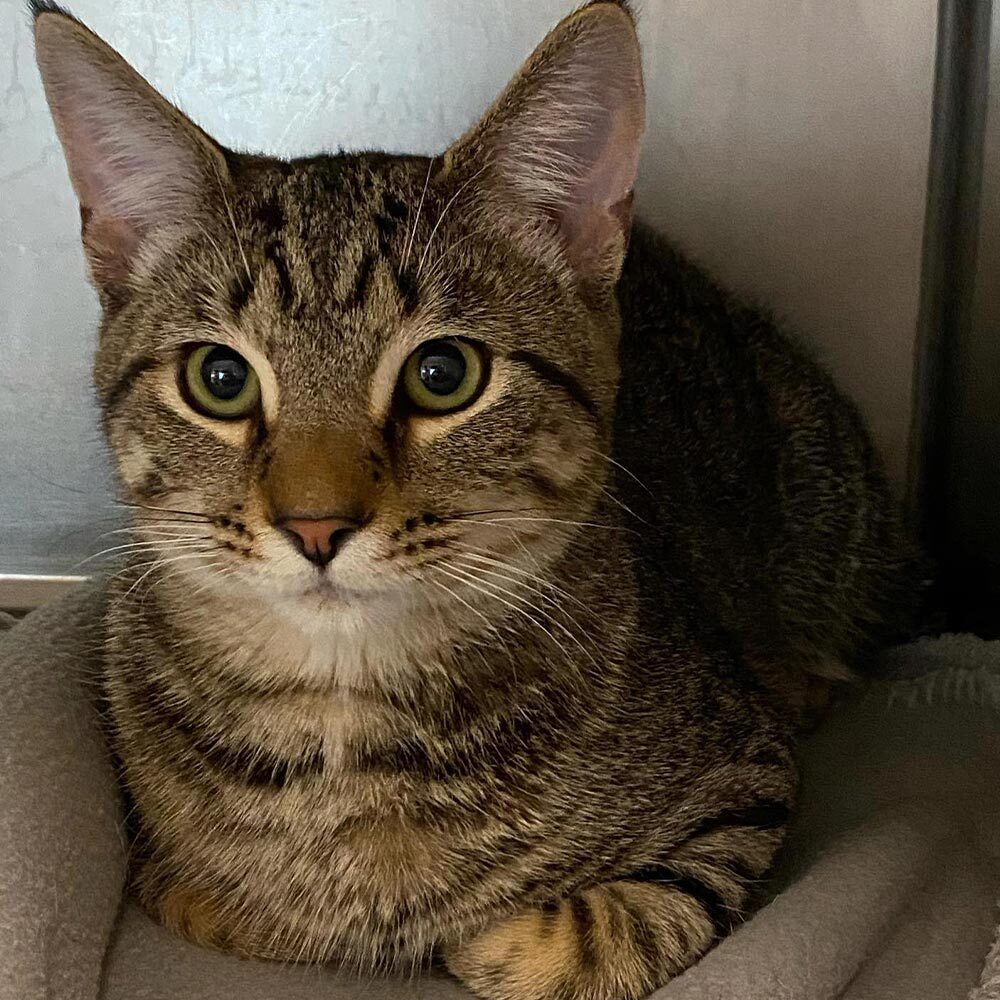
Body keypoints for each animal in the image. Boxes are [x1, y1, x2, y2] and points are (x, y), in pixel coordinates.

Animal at [31, 1, 920, 1000]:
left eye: (444, 373)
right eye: (219, 379)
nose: (315, 524)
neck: (343, 726)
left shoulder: (744, 782)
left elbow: (596, 933)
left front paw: (487, 934)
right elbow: (227, 898)